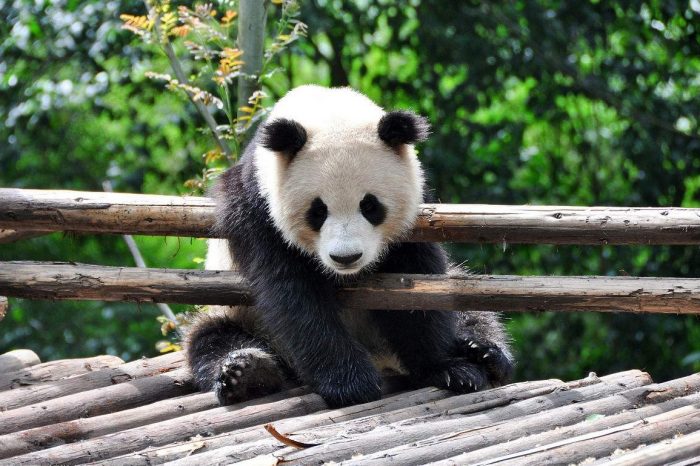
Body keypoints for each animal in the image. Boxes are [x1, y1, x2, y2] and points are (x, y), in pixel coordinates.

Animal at [186, 85, 516, 406]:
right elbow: (294, 294)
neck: (327, 108)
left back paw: (483, 350)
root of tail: (383, 359)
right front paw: (350, 383)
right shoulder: (258, 210)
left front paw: (448, 369)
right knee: (211, 339)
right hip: (237, 315)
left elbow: (419, 287)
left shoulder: (416, 209)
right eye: (318, 211)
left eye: (370, 206)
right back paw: (247, 372)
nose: (346, 257)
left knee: (468, 306)